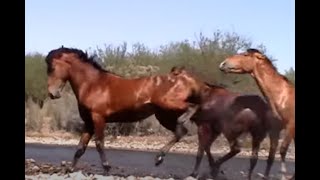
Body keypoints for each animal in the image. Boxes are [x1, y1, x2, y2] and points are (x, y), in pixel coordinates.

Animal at [44, 47, 204, 174]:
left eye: (52, 68)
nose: (52, 93)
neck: (93, 84)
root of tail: (184, 79)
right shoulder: (88, 122)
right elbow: (80, 148)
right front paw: (70, 169)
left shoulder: (98, 118)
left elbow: (99, 143)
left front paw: (107, 167)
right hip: (164, 115)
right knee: (180, 132)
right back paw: (159, 158)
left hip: (169, 106)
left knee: (192, 108)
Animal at [219, 48, 296, 180]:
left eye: (245, 54)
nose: (223, 64)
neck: (282, 96)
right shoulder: (274, 130)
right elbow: (271, 156)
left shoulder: (291, 126)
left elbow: (283, 150)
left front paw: (283, 175)